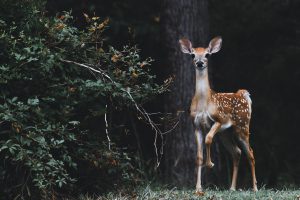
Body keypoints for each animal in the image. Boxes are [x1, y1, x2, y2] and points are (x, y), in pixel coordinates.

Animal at [178, 36, 258, 195]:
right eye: (192, 55)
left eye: (207, 54)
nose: (200, 62)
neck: (204, 103)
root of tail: (243, 94)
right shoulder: (196, 125)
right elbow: (198, 156)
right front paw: (198, 188)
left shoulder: (219, 120)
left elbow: (208, 139)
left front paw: (210, 164)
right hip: (225, 134)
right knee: (237, 152)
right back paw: (232, 188)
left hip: (242, 126)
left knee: (250, 153)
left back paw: (255, 188)